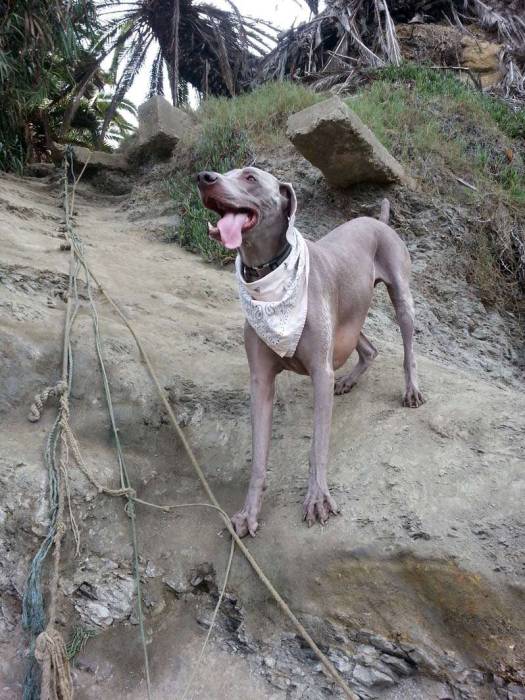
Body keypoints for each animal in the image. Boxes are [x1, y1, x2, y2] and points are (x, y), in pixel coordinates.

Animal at [196, 167, 422, 540]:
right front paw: (248, 513)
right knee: (369, 348)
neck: (270, 280)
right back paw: (349, 381)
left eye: (250, 177)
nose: (204, 177)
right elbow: (259, 456)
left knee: (408, 348)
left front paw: (317, 499)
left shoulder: (320, 372)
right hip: (347, 313)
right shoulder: (261, 381)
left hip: (400, 295)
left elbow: (317, 446)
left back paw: (411, 390)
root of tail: (377, 221)